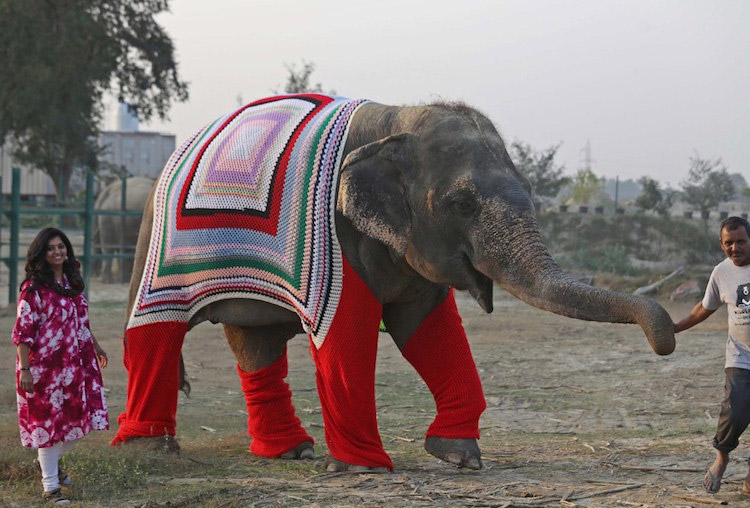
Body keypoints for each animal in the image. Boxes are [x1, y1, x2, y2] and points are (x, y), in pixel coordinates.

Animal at [114, 95, 680, 472]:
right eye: (461, 204)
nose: (667, 338)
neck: (398, 119)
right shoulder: (339, 235)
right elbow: (346, 332)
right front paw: (363, 467)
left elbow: (430, 330)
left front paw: (460, 457)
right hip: (155, 241)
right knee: (155, 328)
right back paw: (150, 447)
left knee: (256, 341)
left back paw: (290, 451)